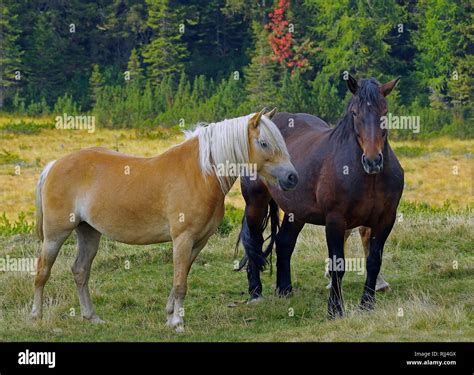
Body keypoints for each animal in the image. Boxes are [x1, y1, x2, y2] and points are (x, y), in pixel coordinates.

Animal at [34, 108, 296, 332]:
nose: (292, 177)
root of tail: (54, 165)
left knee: (80, 271)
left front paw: (170, 315)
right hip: (55, 235)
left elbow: (182, 276)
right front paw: (178, 323)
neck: (200, 174)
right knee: (42, 270)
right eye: (264, 143)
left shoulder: (198, 241)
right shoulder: (182, 239)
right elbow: (180, 283)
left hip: (88, 232)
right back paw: (37, 317)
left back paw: (92, 317)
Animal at [237, 78, 404, 318]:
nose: (372, 160)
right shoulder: (335, 221)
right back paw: (255, 293)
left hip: (296, 212)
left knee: (284, 242)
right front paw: (335, 309)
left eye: (384, 111)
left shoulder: (385, 220)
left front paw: (367, 305)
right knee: (254, 241)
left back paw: (285, 290)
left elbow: (374, 261)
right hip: (255, 203)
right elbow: (338, 264)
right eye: (354, 113)